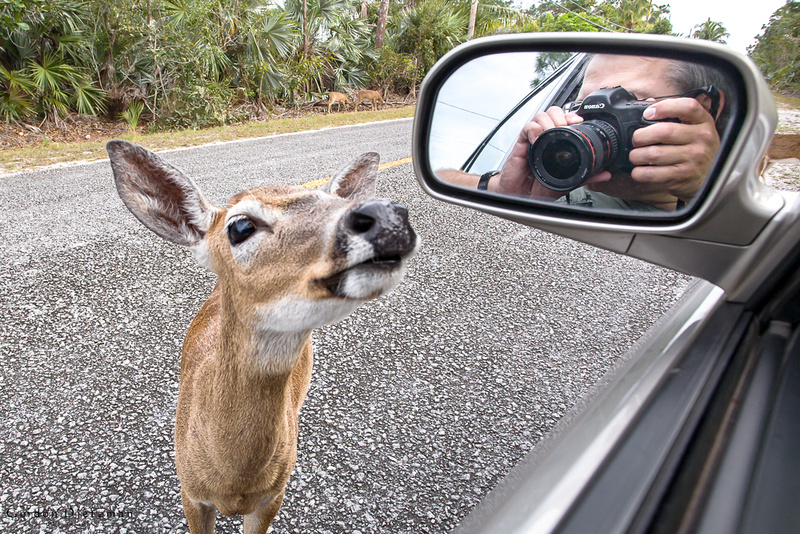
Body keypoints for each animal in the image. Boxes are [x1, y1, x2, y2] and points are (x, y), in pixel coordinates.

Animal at [107, 141, 418, 534]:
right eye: (241, 226)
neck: (232, 477)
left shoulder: (273, 496)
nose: (386, 214)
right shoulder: (190, 493)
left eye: (330, 198)